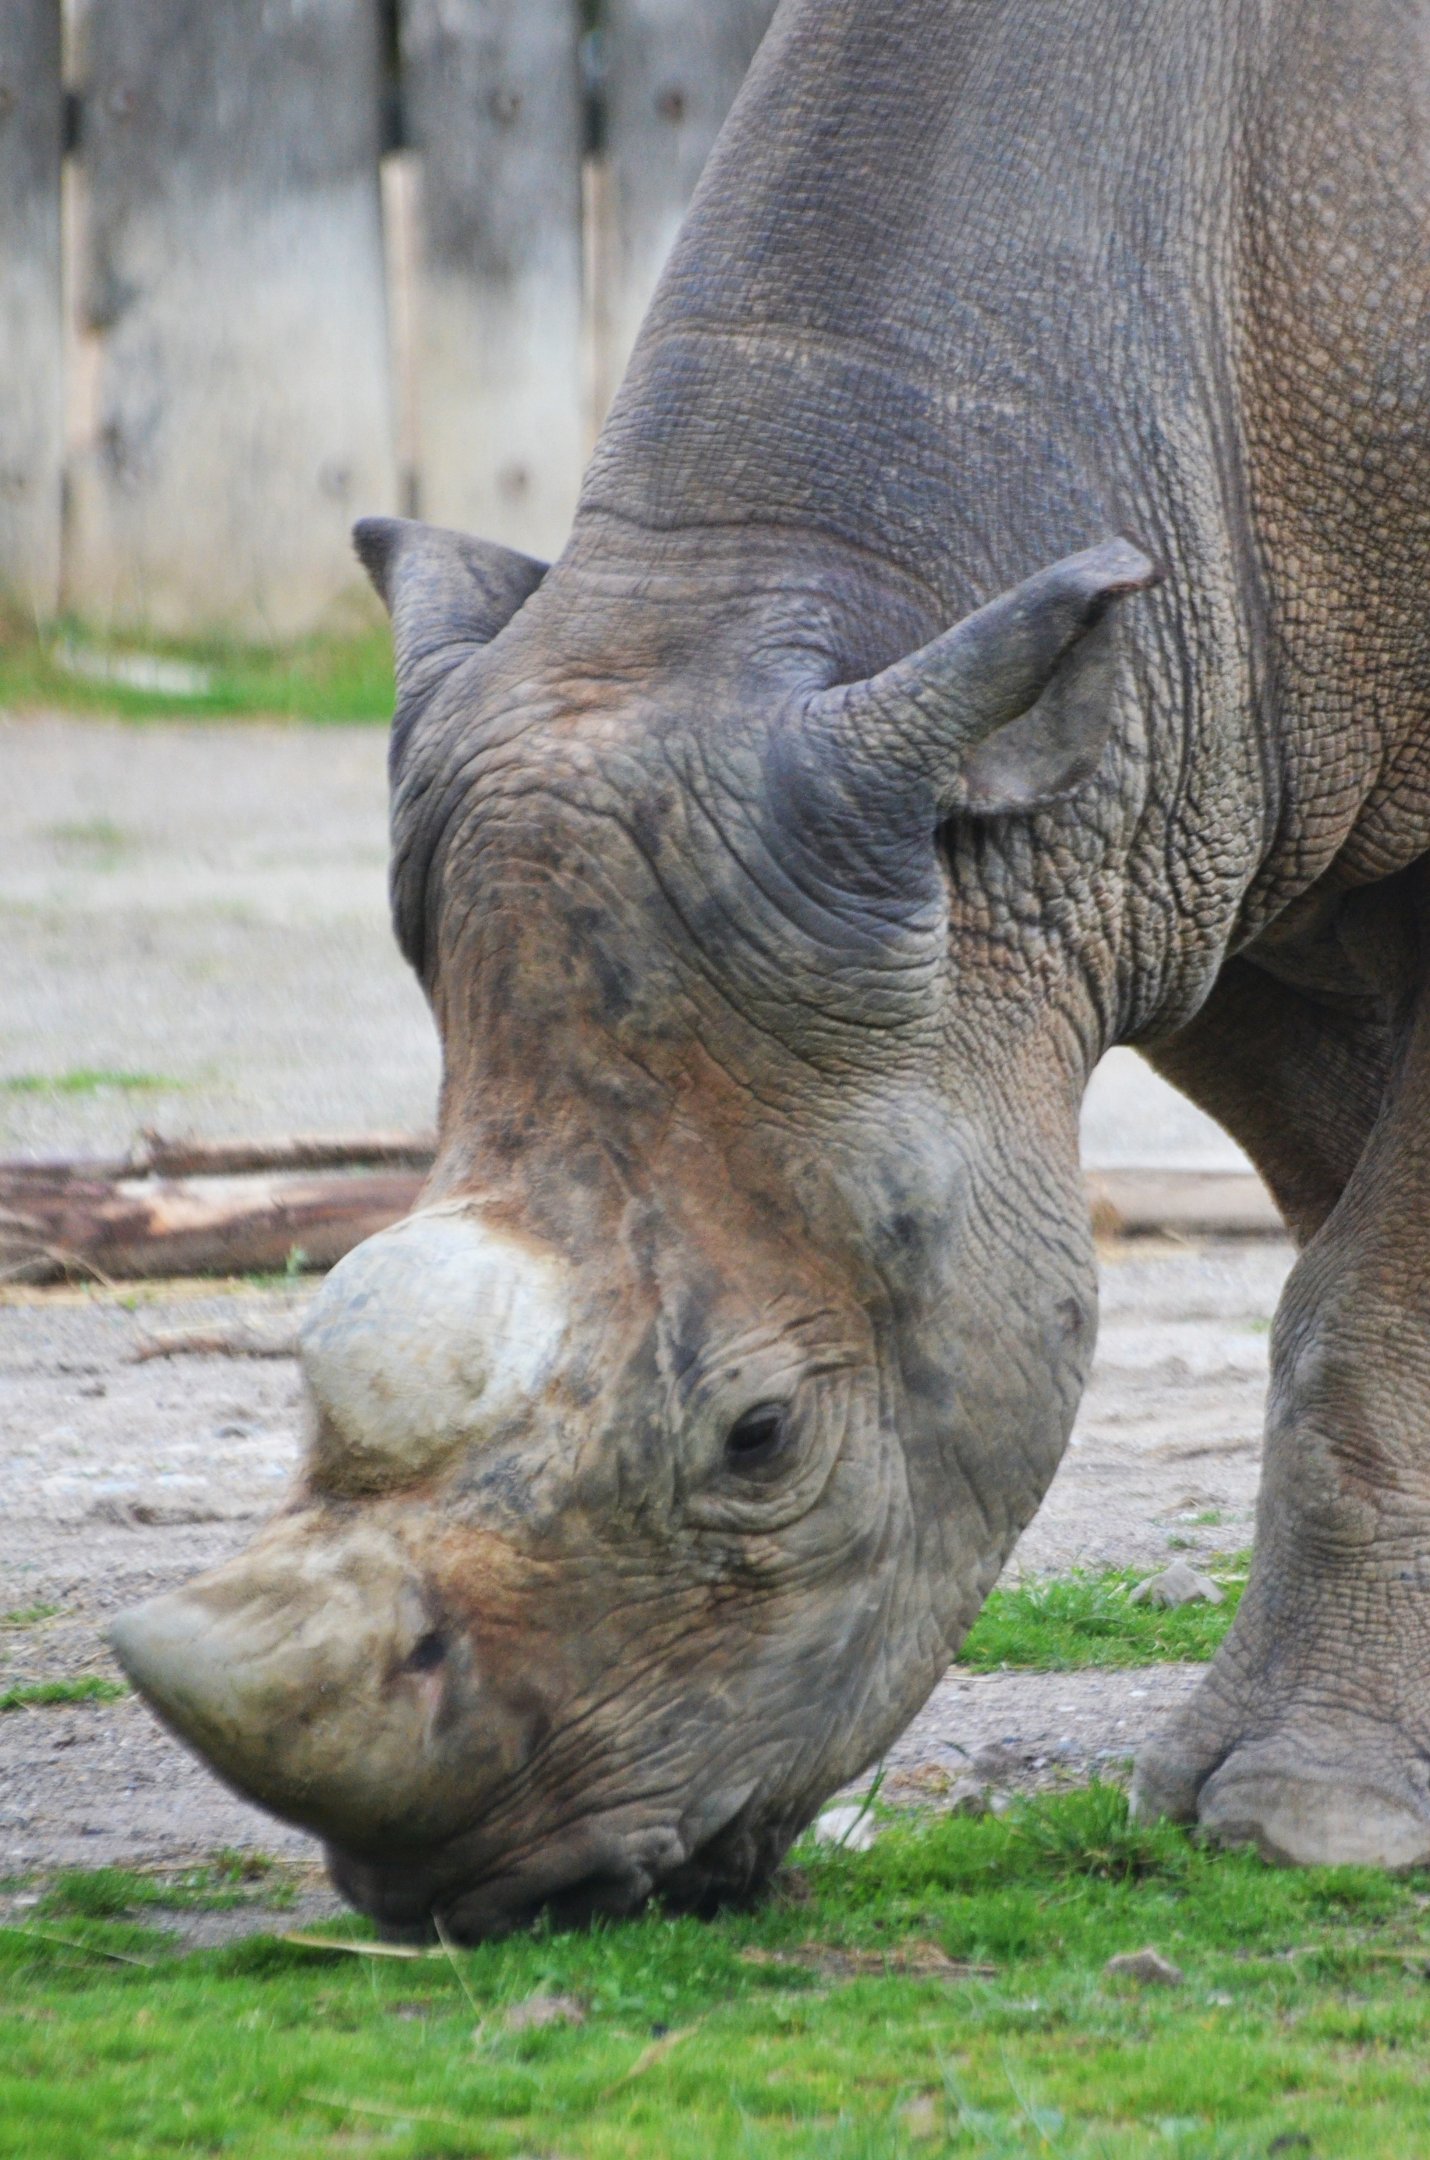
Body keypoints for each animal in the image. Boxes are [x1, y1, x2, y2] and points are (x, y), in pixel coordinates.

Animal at [113, 0, 1430, 1932]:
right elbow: (1347, 1212)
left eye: (760, 1442)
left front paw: (1304, 1821)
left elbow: (1358, 1296)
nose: (459, 1887)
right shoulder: (1189, 804)